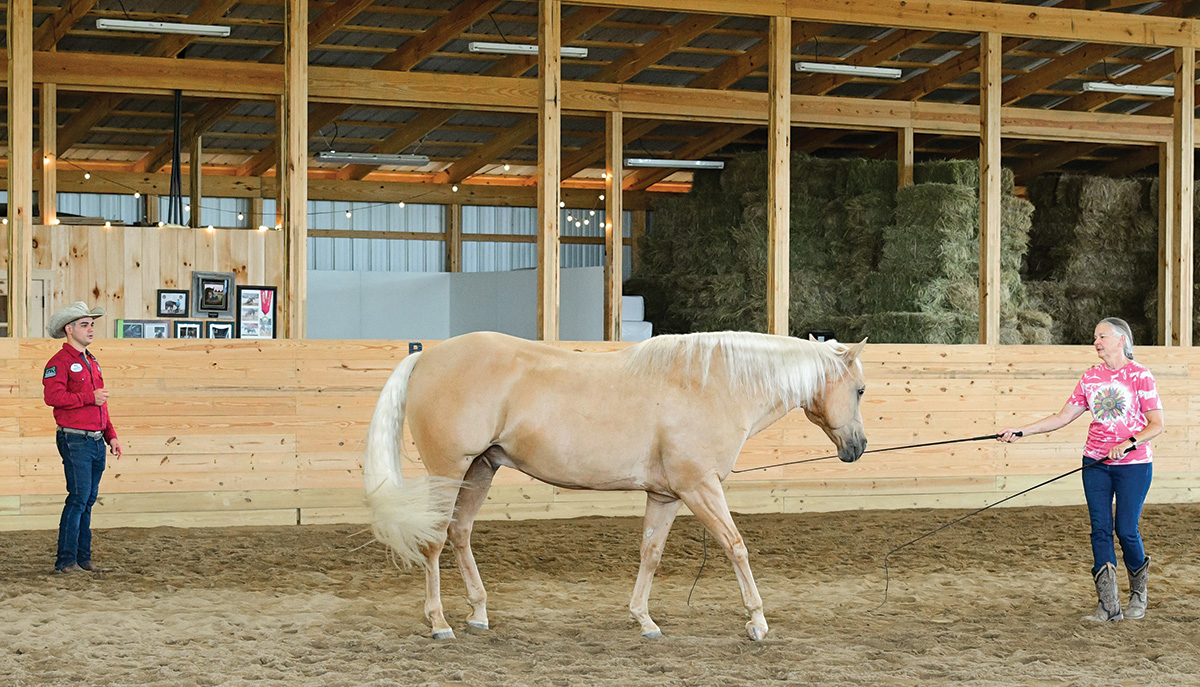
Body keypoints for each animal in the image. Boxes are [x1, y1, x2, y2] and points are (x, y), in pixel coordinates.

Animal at [360, 329, 868, 643]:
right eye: (860, 390)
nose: (858, 446)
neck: (711, 385)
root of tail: (427, 354)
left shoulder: (666, 495)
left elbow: (651, 553)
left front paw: (644, 619)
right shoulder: (700, 488)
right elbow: (735, 546)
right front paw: (757, 622)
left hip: (481, 470)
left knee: (460, 532)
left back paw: (479, 614)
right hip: (449, 470)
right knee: (434, 540)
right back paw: (439, 622)